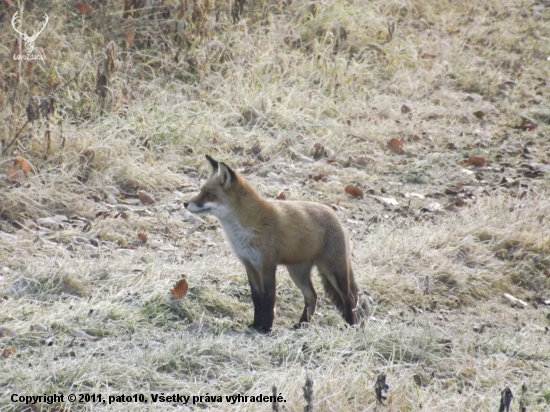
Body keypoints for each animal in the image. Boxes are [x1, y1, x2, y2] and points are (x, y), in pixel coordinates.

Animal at [185, 156, 370, 334]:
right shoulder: (249, 265)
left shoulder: (267, 265)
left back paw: (351, 325)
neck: (245, 228)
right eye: (201, 191)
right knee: (313, 296)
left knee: (349, 298)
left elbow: (268, 299)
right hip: (297, 273)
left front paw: (266, 328)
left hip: (334, 271)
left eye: (209, 195)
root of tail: (334, 214)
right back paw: (302, 325)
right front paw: (256, 325)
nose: (185, 203)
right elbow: (257, 299)